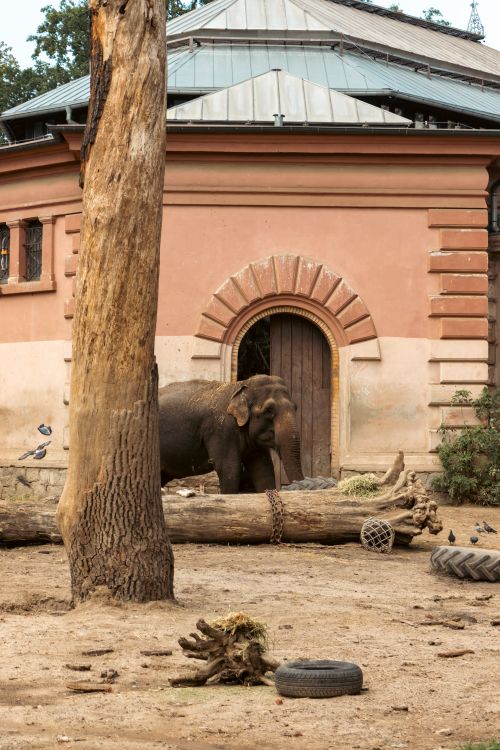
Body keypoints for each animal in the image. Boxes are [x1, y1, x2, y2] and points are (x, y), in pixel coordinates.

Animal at [158, 374, 304, 493]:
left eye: (296, 407)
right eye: (269, 410)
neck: (241, 385)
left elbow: (264, 470)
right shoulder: (222, 429)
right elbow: (228, 468)